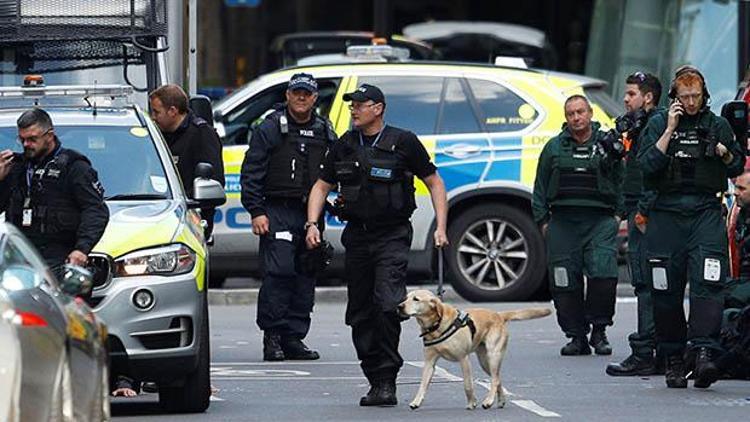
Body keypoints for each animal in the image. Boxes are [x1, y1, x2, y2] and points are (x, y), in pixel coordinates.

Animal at [400, 290, 552, 408]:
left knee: (495, 379)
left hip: (493, 355)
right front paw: (416, 401)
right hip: (485, 362)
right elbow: (423, 384)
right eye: (405, 298)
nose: (399, 306)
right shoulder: (429, 362)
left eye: (416, 299)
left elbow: (468, 384)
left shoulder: (463, 359)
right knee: (497, 377)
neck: (436, 326)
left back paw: (489, 401)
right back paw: (501, 400)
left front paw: (472, 402)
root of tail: (499, 315)